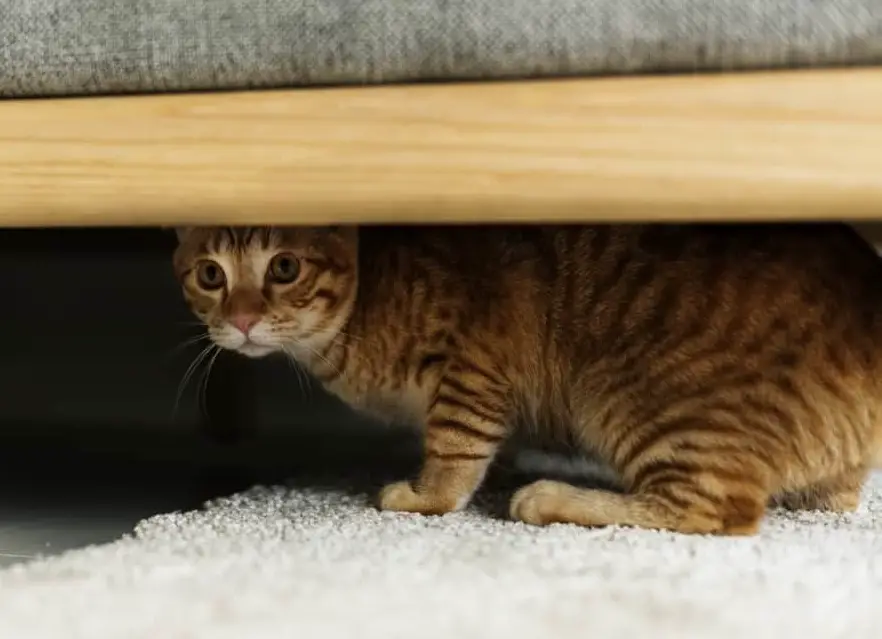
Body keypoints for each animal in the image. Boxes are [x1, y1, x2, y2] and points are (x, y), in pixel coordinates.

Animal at [174, 225, 882, 536]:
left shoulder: (472, 364)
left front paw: (426, 496)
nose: (241, 320)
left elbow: (453, 453)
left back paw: (556, 499)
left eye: (284, 266)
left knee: (712, 510)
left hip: (636, 399)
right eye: (210, 274)